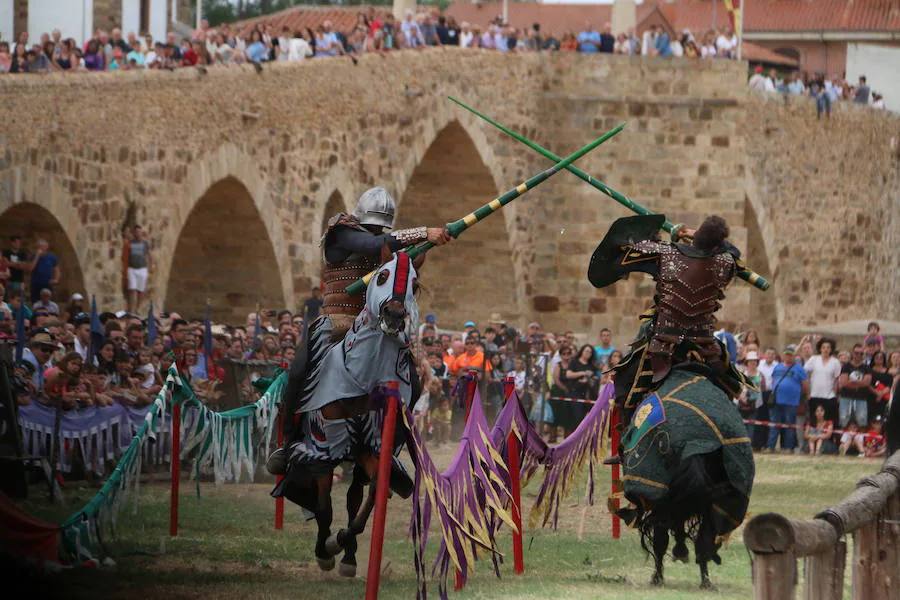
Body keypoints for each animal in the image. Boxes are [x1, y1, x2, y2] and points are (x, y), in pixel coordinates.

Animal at [268, 250, 420, 576]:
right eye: (382, 275)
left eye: (416, 285)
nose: (394, 316)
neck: (359, 380)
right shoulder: (324, 448)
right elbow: (324, 508)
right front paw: (324, 551)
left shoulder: (373, 449)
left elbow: (371, 497)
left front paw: (342, 542)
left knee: (353, 498)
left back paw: (349, 556)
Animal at [620, 368, 752, 588]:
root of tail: (692, 441)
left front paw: (678, 553)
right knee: (702, 537)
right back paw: (704, 580)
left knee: (666, 537)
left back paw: (662, 575)